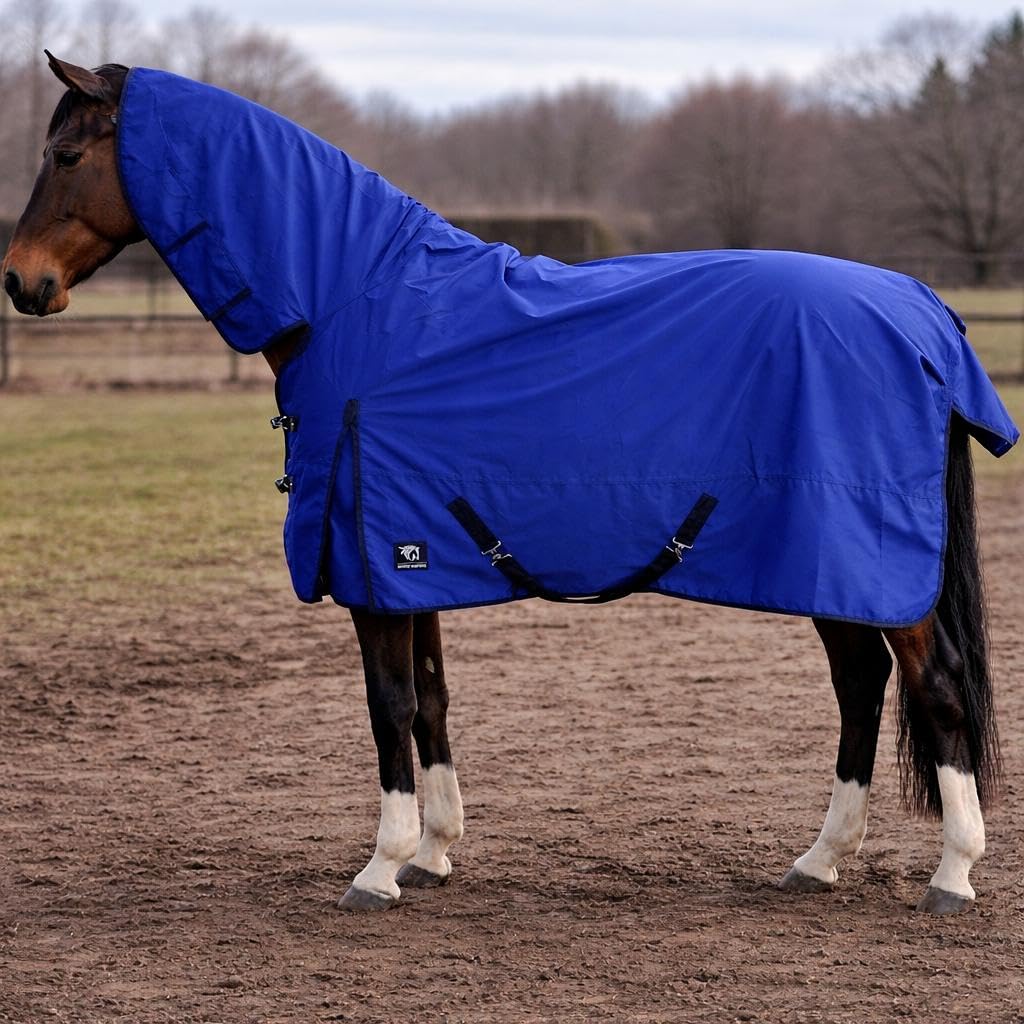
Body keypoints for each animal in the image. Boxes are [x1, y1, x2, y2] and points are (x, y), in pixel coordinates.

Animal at [3, 54, 1017, 916]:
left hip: (866, 568)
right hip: (828, 568)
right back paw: (819, 860)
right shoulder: (408, 558)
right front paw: (433, 852)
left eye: (64, 154)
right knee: (861, 687)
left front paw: (379, 868)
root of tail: (923, 311)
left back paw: (953, 873)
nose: (21, 282)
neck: (352, 301)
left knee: (935, 687)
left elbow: (389, 709)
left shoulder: (372, 564)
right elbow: (433, 700)